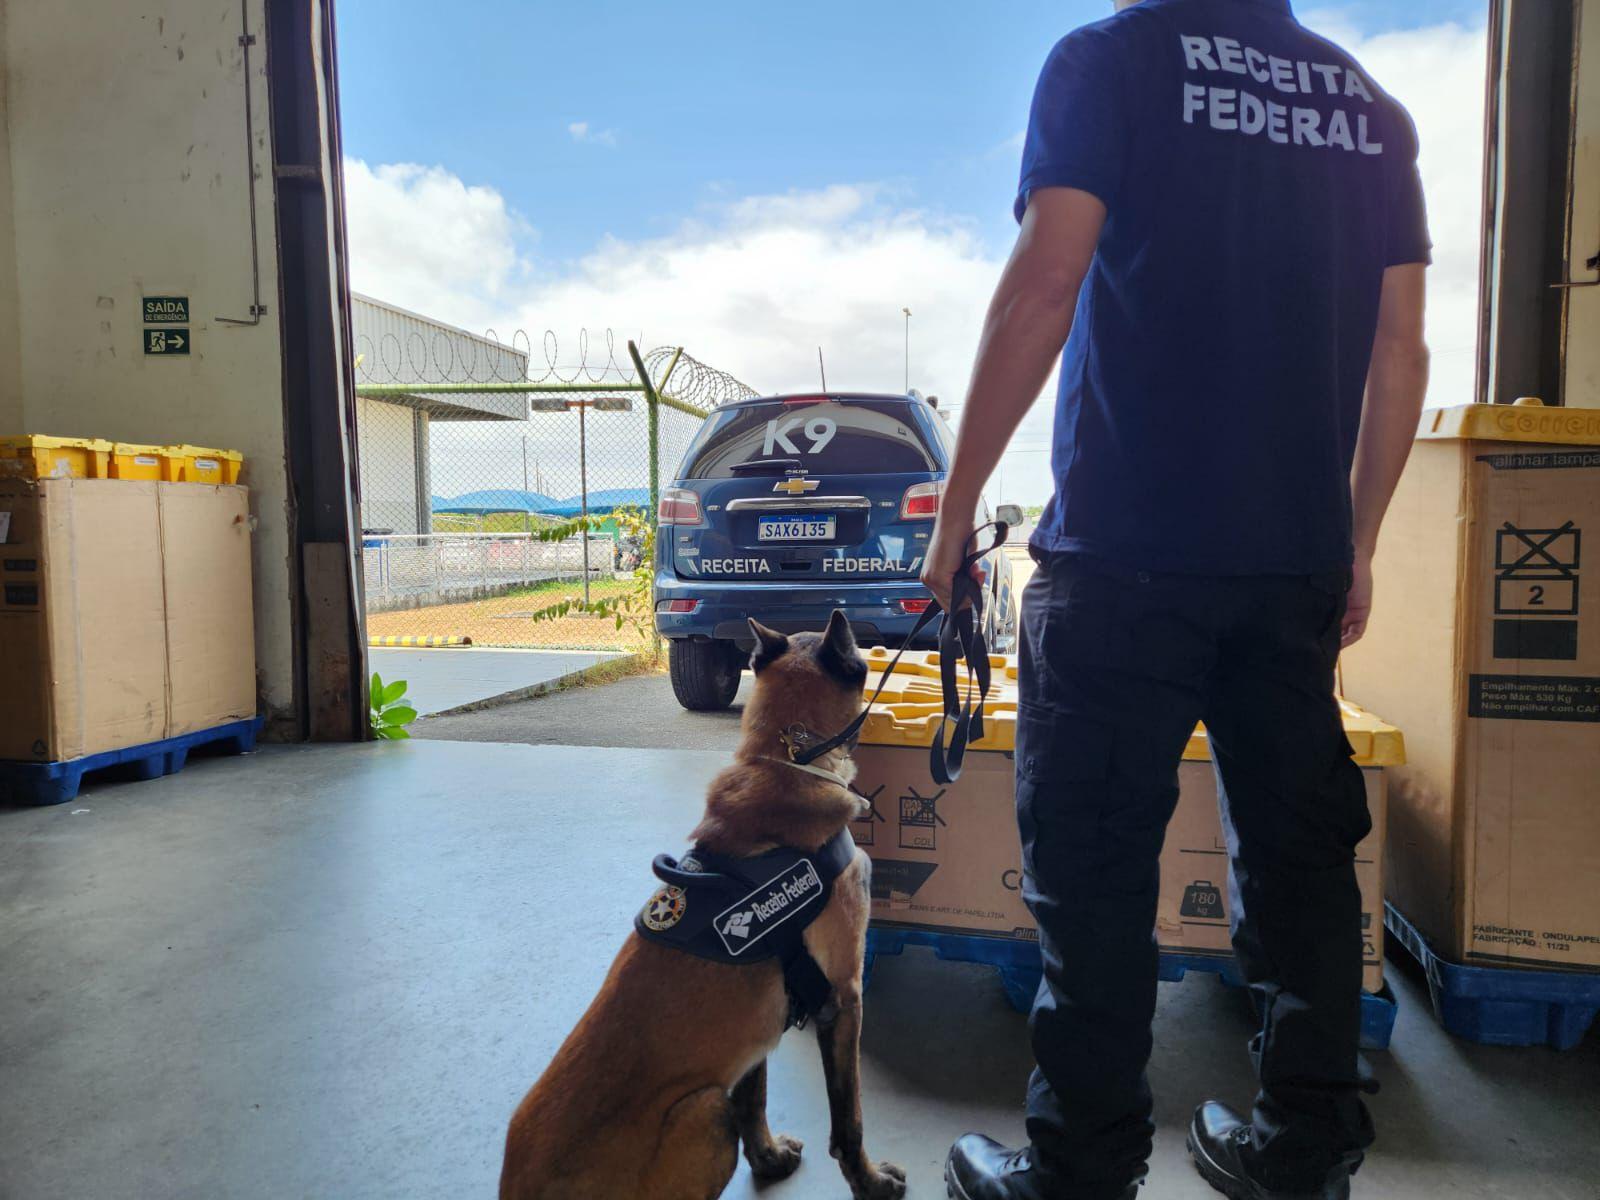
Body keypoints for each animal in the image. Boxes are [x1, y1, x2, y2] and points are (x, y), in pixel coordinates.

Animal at [502, 614, 902, 1196]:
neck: (788, 760)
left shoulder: (760, 1027)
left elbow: (754, 1099)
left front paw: (768, 1159)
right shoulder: (844, 999)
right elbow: (848, 1122)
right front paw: (869, 1181)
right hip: (707, 1114)